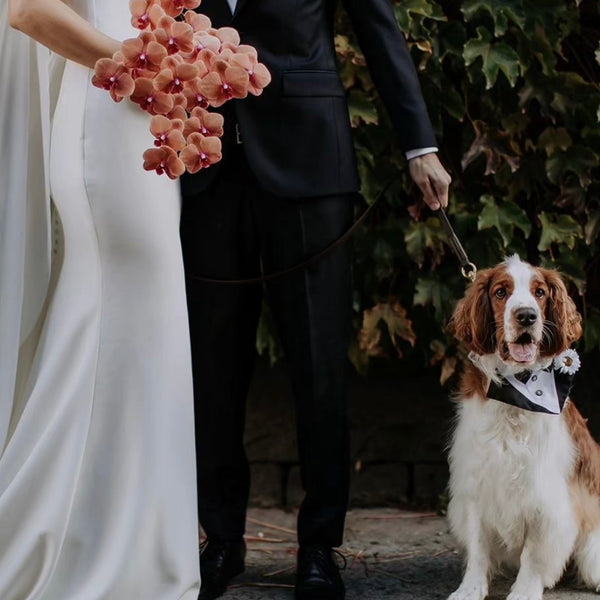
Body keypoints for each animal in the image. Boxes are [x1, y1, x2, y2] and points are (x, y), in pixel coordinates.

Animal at [446, 254, 600, 600]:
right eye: (500, 292)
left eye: (539, 292)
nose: (526, 316)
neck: (519, 391)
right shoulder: (477, 479)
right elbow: (478, 545)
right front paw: (470, 589)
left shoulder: (544, 493)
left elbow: (535, 552)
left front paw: (525, 591)